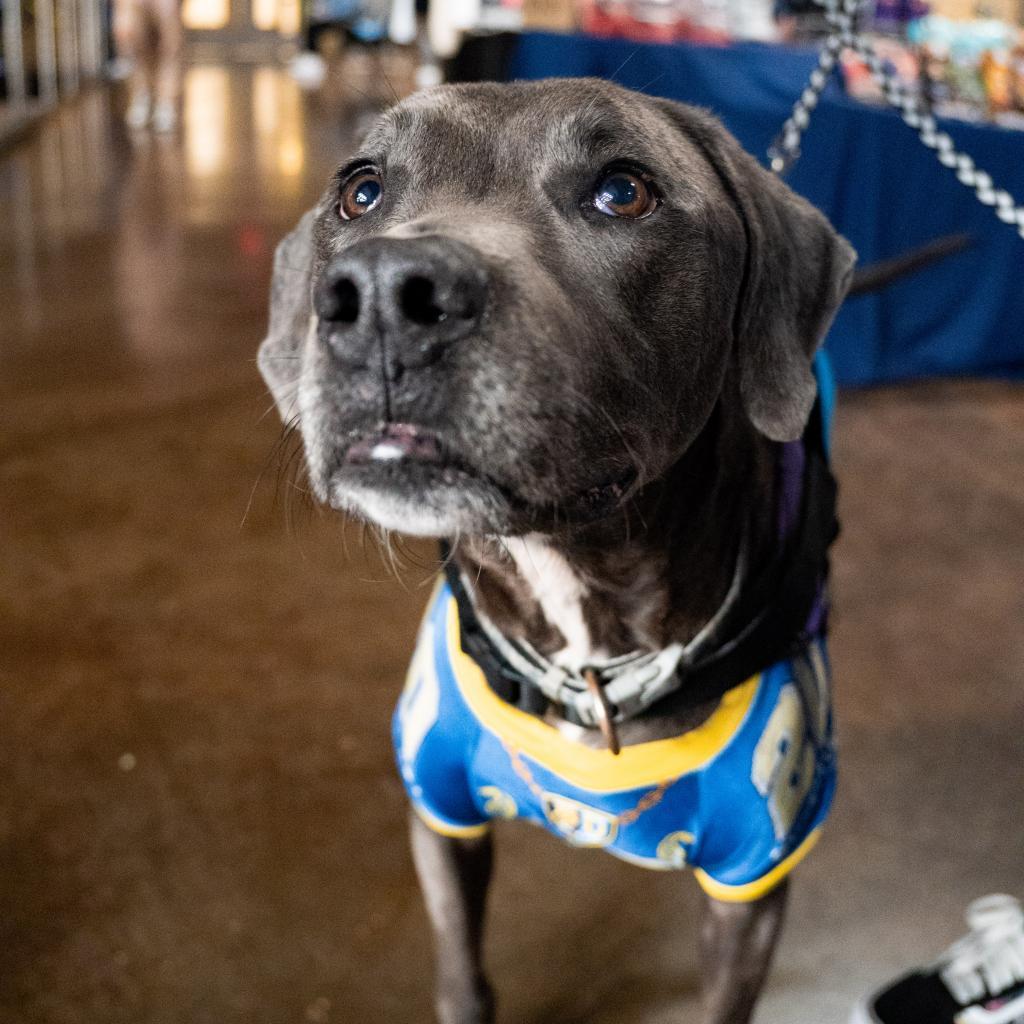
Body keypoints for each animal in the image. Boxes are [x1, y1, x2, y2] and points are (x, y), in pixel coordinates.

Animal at [258, 79, 856, 1024]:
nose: (384, 295)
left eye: (623, 191)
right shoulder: (439, 813)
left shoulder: (754, 880)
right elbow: (462, 976)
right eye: (361, 189)